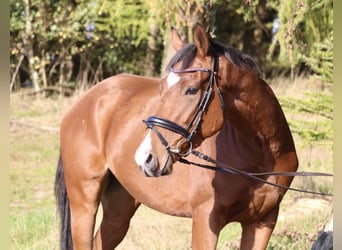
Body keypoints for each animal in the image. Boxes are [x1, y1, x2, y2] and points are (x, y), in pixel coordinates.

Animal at [54, 23, 298, 250]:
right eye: (161, 88)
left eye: (191, 90)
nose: (145, 157)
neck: (258, 156)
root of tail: (88, 99)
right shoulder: (206, 221)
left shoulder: (262, 222)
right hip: (84, 203)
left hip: (119, 208)